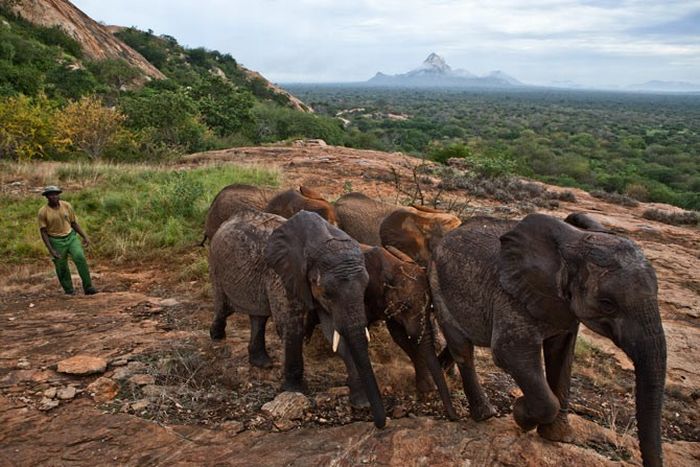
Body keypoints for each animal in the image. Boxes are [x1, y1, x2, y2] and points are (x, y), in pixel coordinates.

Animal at [211, 210, 386, 430]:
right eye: (327, 293)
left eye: (365, 288)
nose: (380, 424)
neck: (319, 240)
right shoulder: (282, 276)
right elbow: (291, 327)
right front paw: (295, 390)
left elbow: (334, 333)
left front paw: (361, 401)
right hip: (217, 265)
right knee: (223, 306)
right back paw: (216, 335)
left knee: (258, 315)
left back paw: (262, 363)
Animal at [432, 213, 668, 467]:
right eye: (607, 304)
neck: (574, 244)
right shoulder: (512, 295)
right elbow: (510, 353)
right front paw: (521, 415)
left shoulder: (563, 307)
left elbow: (561, 355)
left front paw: (558, 438)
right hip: (437, 281)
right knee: (462, 347)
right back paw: (486, 415)